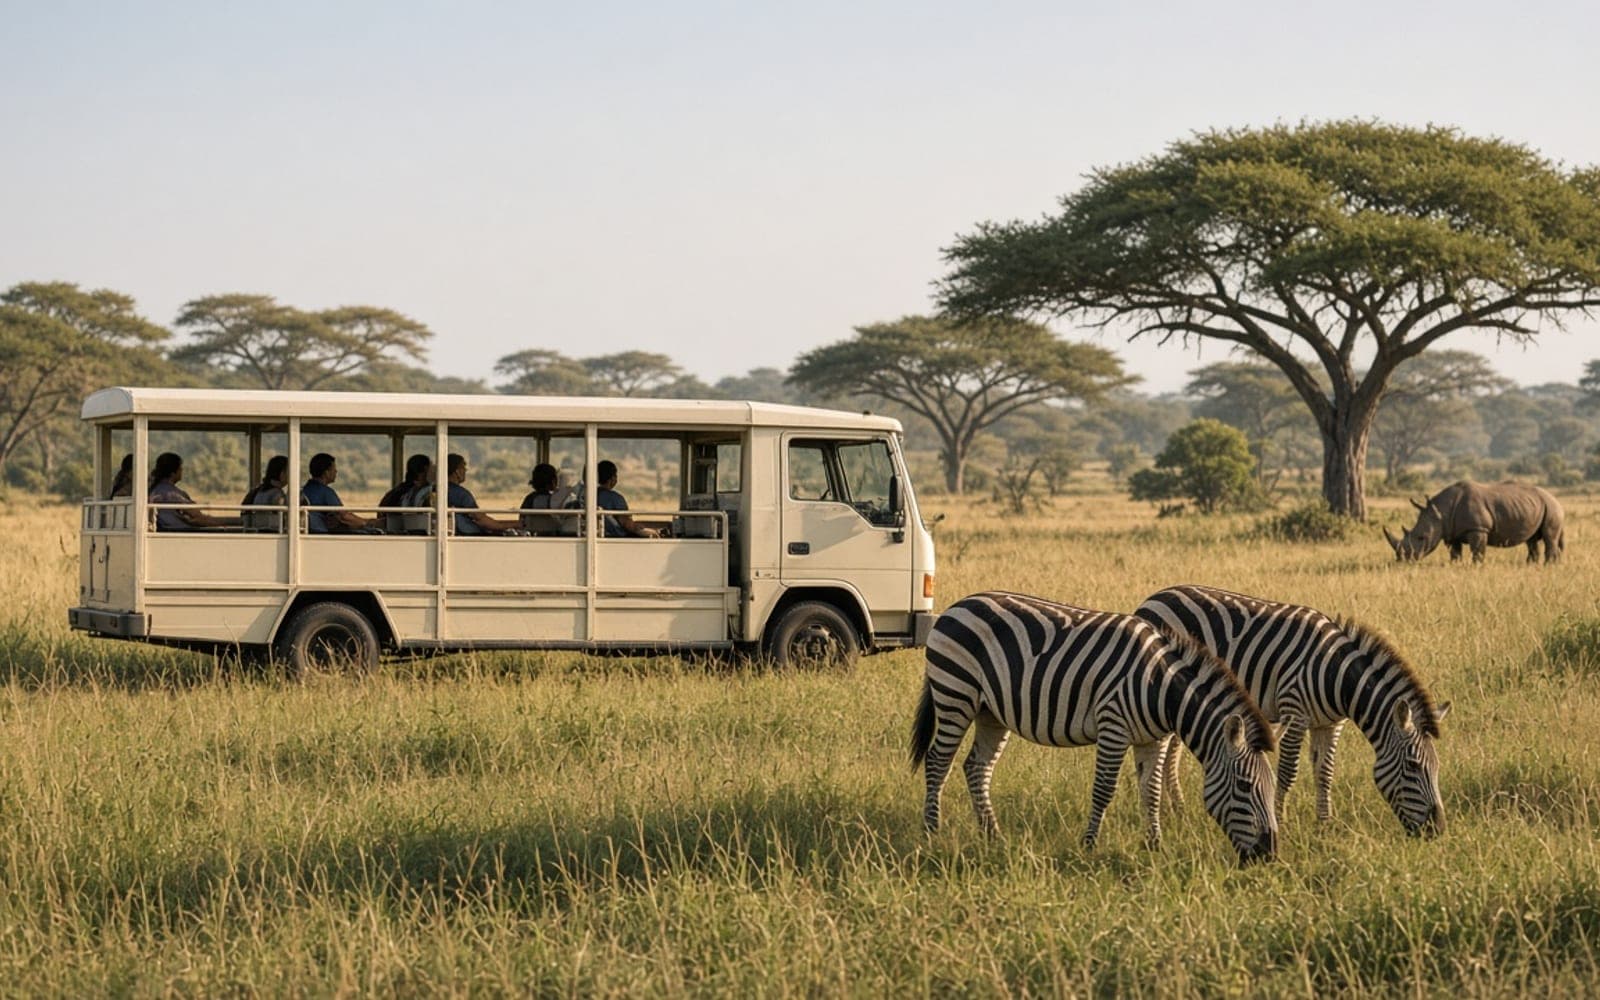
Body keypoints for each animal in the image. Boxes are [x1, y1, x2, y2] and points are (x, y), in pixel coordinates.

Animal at [1384, 480, 1564, 564]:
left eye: (1421, 538)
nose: (1403, 560)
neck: (1441, 513)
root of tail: (1555, 499)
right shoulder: (1453, 532)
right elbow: (1455, 553)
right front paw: (1455, 565)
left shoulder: (1478, 528)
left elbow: (1477, 551)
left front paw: (1477, 567)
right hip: (1536, 506)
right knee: (1531, 540)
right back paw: (1531, 566)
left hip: (1552, 508)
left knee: (1549, 538)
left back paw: (1548, 566)